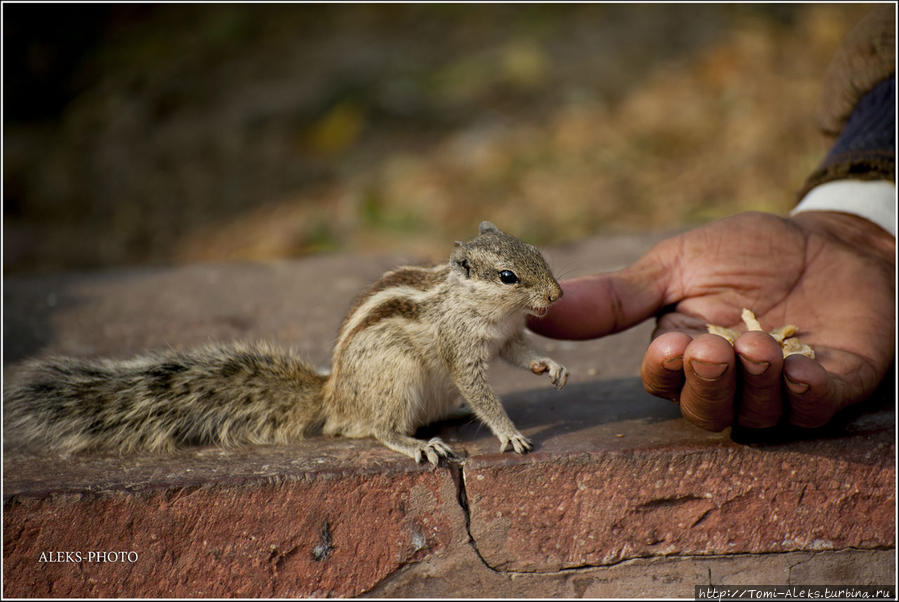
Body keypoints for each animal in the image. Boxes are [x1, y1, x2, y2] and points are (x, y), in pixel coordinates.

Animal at [5, 221, 568, 464]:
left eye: (538, 250)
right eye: (508, 276)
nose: (558, 295)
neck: (479, 306)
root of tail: (332, 396)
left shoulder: (506, 338)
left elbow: (521, 353)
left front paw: (551, 367)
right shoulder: (461, 351)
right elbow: (481, 392)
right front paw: (509, 433)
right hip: (396, 376)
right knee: (372, 429)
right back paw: (417, 443)